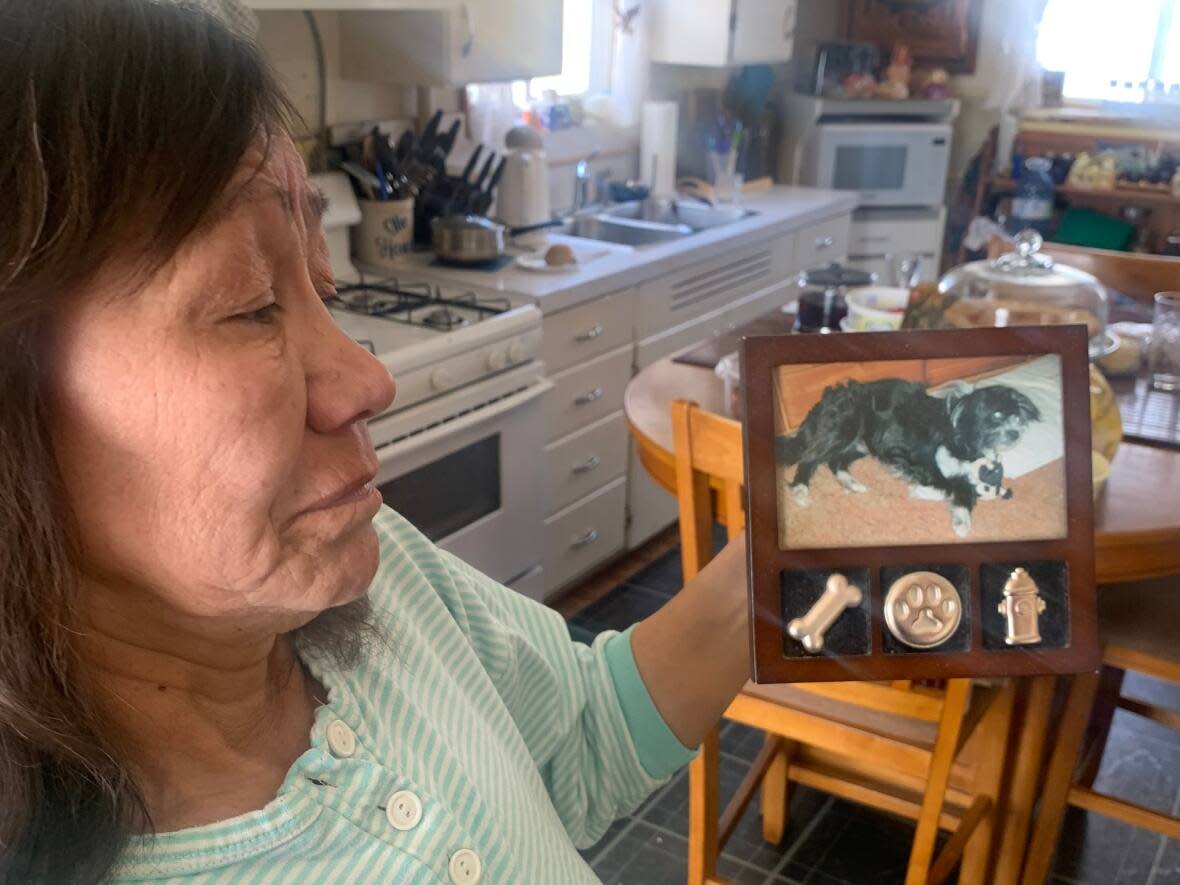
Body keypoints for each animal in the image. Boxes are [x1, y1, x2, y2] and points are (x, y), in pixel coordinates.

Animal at [774, 379, 1043, 538]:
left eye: (1017, 417)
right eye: (997, 415)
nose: (1016, 433)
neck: (960, 434)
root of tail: (826, 399)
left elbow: (964, 486)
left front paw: (961, 515)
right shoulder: (903, 454)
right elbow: (951, 483)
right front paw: (948, 506)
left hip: (861, 443)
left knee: (834, 462)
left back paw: (853, 484)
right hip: (844, 428)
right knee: (809, 459)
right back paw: (800, 491)